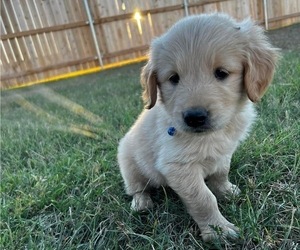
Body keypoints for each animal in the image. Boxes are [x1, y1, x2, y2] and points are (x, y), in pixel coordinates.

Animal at [117, 12, 278, 241]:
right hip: (129, 165)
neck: (211, 135)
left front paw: (226, 190)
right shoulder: (178, 165)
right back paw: (141, 202)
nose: (194, 117)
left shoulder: (224, 152)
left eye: (221, 73)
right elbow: (204, 198)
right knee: (137, 188)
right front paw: (218, 230)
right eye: (173, 78)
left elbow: (221, 173)